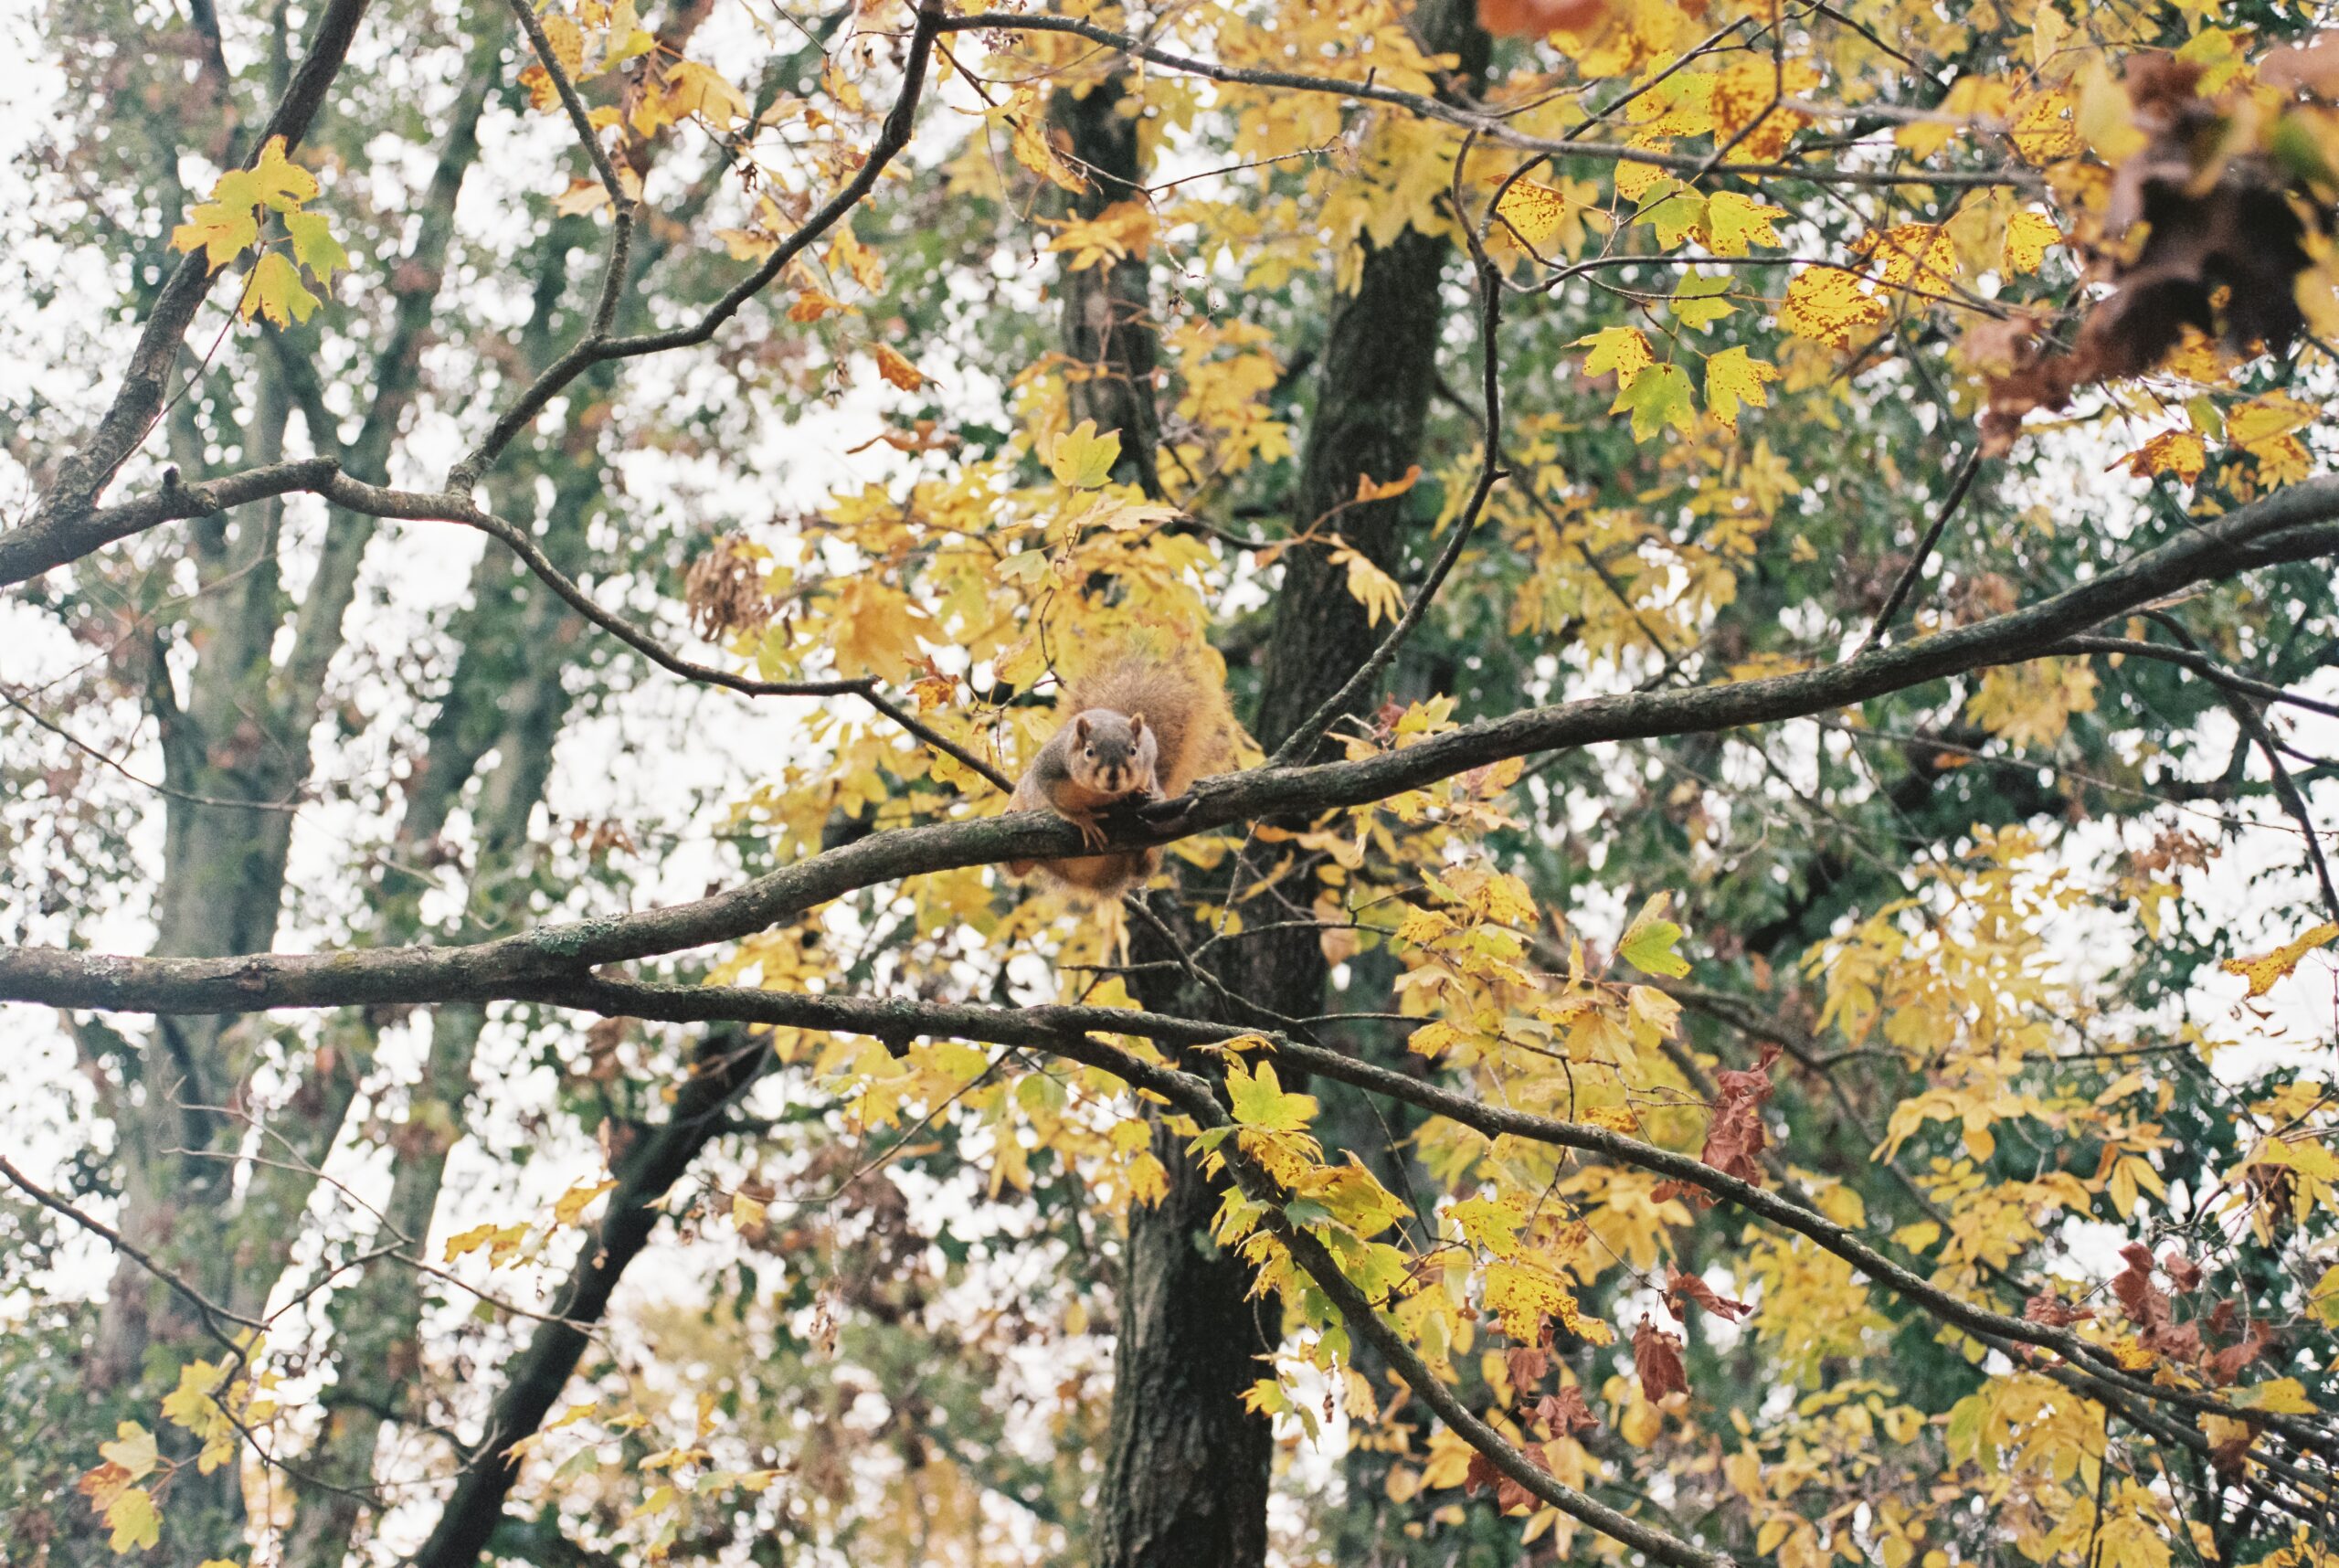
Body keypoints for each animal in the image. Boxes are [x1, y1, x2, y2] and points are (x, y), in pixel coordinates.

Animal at [1004, 646, 1237, 900]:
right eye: (1089, 752)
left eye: (1134, 750)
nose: (1114, 776)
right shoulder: (1048, 768)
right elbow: (1061, 805)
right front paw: (1084, 819)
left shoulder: (1148, 759)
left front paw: (1141, 791)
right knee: (1017, 867)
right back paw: (1012, 814)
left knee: (1142, 866)